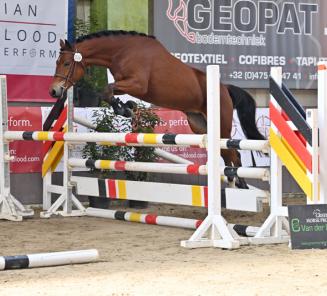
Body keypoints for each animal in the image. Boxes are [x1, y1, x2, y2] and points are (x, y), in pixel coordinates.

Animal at [48, 30, 266, 187]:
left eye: (66, 63)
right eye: (57, 62)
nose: (54, 91)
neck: (122, 51)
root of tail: (225, 88)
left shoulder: (137, 85)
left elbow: (107, 90)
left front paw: (125, 109)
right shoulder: (127, 84)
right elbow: (107, 93)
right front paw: (127, 107)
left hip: (221, 124)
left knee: (234, 153)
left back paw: (241, 184)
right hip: (200, 124)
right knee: (226, 153)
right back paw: (233, 183)